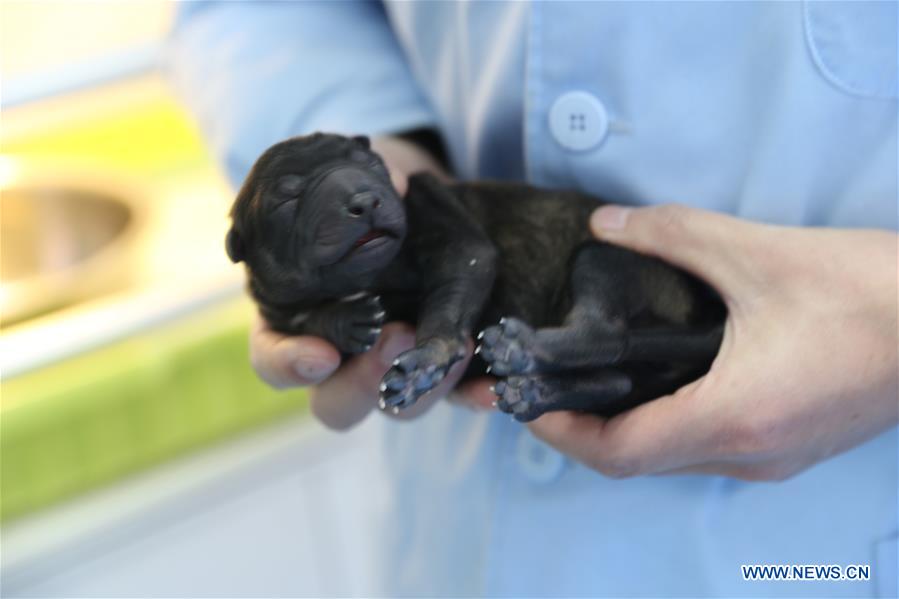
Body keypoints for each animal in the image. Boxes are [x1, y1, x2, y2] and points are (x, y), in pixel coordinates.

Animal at [225, 132, 724, 422]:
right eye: (288, 199)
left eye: (371, 164)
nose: (364, 200)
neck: (376, 276)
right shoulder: (272, 303)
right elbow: (300, 317)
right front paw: (345, 321)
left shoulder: (433, 208)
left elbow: (466, 266)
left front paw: (424, 363)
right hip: (636, 377)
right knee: (616, 381)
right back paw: (535, 394)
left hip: (604, 256)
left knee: (604, 333)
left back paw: (524, 350)